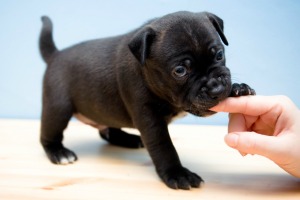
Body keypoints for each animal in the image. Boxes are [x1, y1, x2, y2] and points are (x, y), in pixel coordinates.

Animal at [39, 11, 255, 190]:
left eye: (219, 55)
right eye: (180, 71)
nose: (216, 88)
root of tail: (56, 55)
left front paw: (238, 89)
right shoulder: (149, 118)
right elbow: (163, 146)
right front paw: (177, 173)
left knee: (108, 129)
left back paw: (130, 139)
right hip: (58, 108)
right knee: (49, 133)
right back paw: (59, 152)